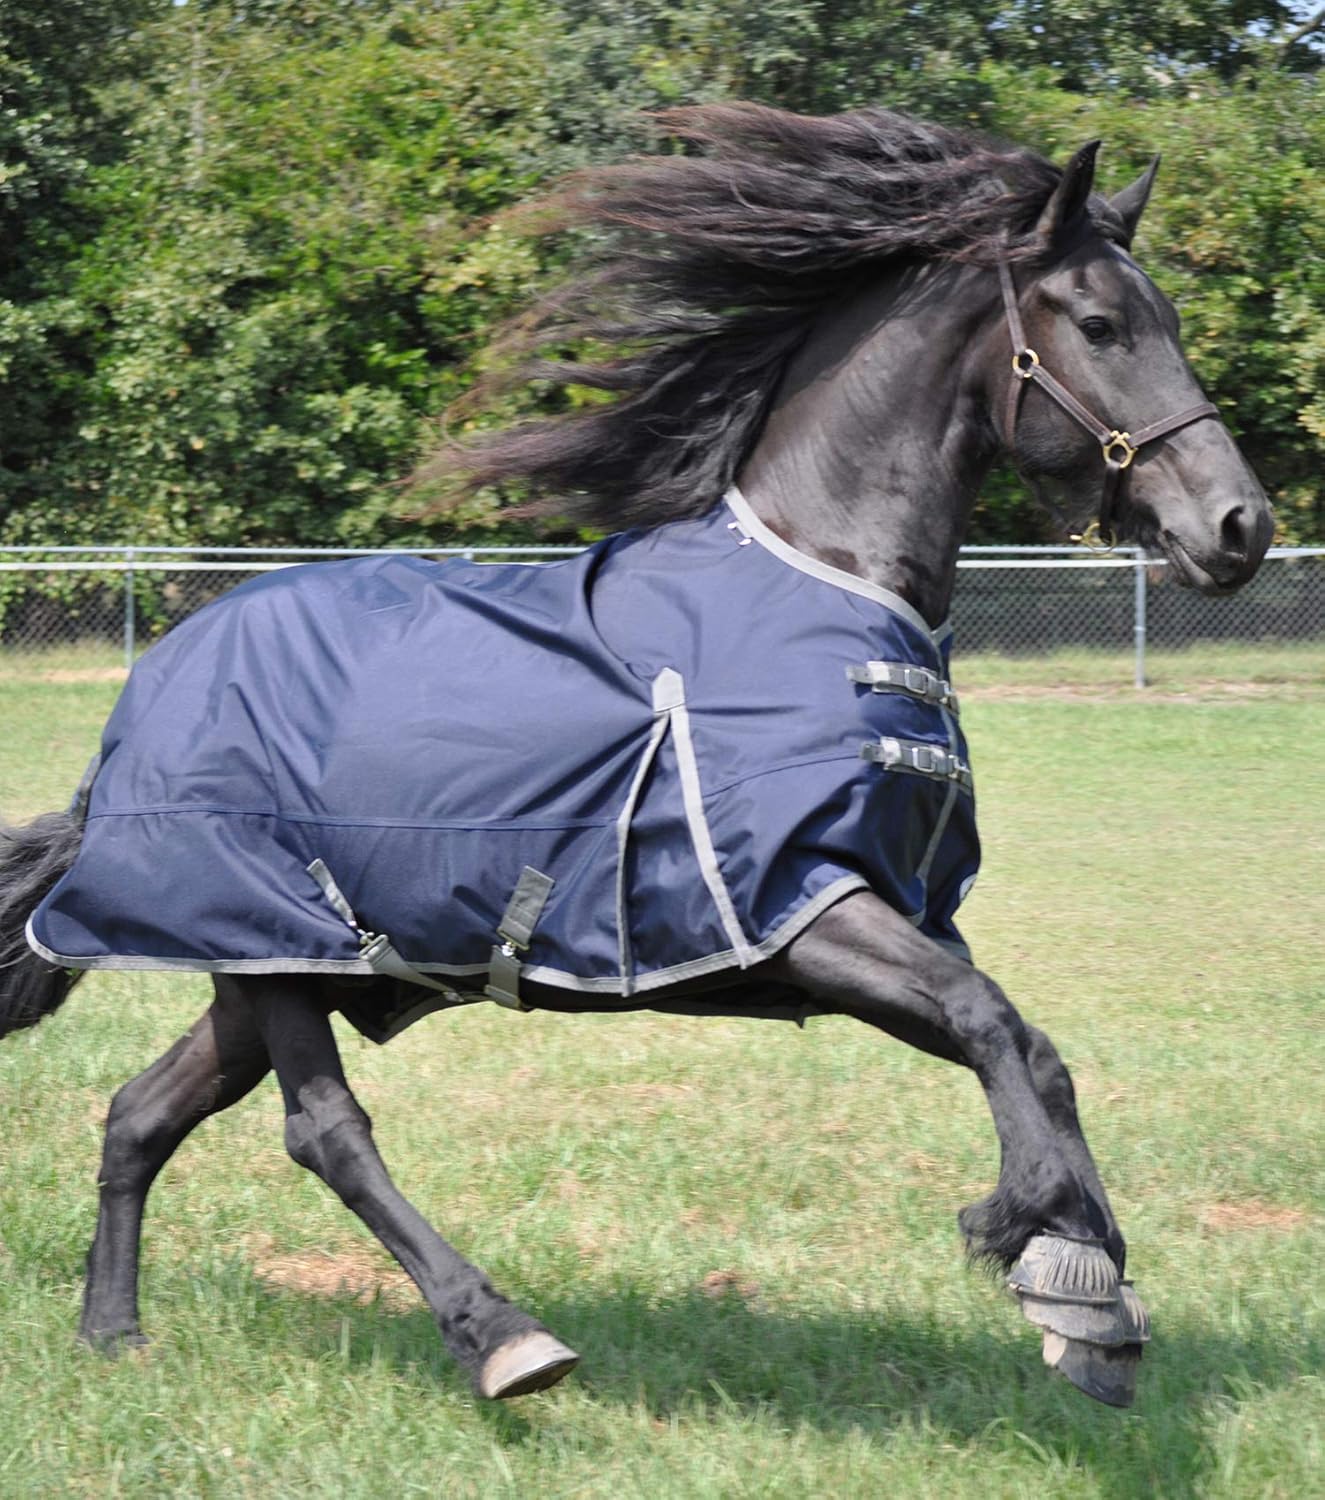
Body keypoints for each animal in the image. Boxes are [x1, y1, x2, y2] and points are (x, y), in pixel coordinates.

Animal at [0, 105, 1272, 1410]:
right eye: (1100, 325)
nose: (1238, 526)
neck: (822, 579)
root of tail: (145, 703)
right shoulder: (799, 911)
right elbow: (992, 1023)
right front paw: (1046, 1249)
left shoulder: (865, 918)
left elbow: (1028, 1046)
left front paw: (1086, 1295)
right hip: (278, 948)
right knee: (325, 1133)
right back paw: (499, 1333)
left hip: (279, 966)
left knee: (139, 1113)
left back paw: (112, 1333)